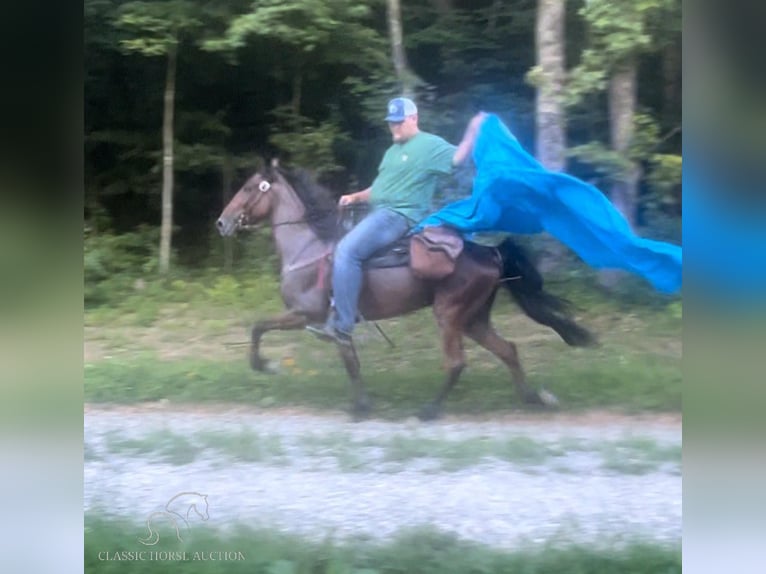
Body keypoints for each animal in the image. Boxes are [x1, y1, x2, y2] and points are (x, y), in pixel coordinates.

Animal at [216, 164, 600, 420]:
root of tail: (491, 252)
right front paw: (361, 405)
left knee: (457, 362)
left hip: (449, 315)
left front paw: (264, 365)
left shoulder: (305, 314)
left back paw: (430, 409)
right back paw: (533, 398)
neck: (307, 249)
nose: (222, 222)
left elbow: (259, 327)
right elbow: (350, 361)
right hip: (474, 319)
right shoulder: (335, 322)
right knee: (508, 350)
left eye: (250, 188)